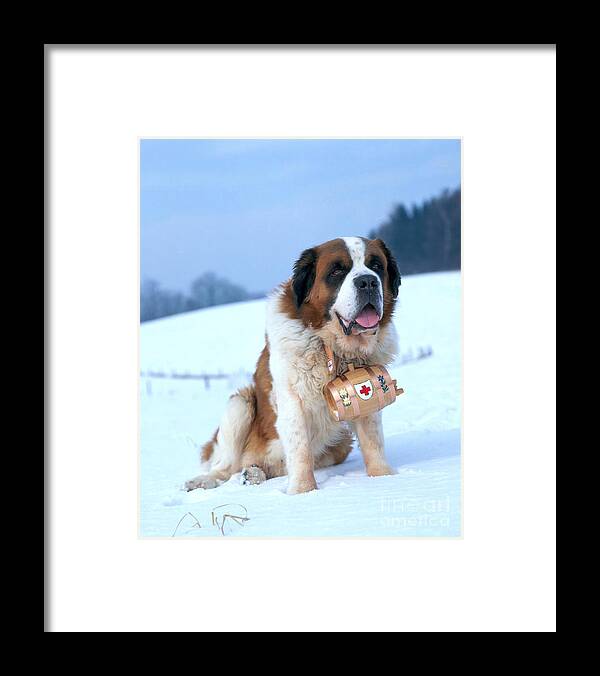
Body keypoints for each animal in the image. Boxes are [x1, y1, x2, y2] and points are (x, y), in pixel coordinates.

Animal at [185, 238, 400, 496]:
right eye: (337, 271)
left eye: (376, 265)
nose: (368, 281)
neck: (331, 346)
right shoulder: (291, 398)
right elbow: (300, 448)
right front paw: (303, 492)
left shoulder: (367, 393)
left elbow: (372, 441)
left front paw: (383, 479)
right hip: (240, 404)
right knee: (225, 466)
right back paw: (205, 481)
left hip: (340, 443)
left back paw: (253, 474)